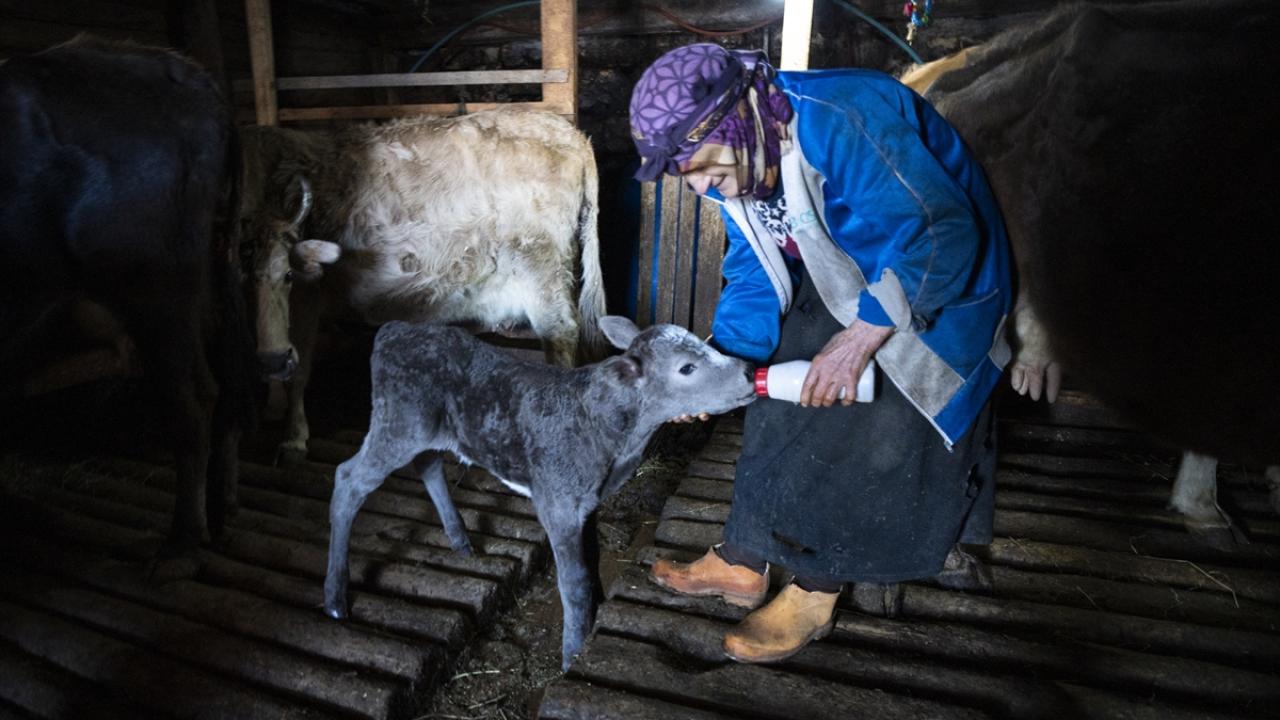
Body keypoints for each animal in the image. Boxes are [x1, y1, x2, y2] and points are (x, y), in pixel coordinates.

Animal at [240, 110, 609, 461]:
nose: (271, 361)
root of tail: (571, 134)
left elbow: (300, 368)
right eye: (242, 276)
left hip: (541, 272)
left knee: (561, 337)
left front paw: (293, 437)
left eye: (288, 274)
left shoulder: (308, 294)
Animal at [325, 313, 752, 666]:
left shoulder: (586, 502)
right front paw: (573, 653)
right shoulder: (557, 502)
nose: (749, 371)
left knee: (428, 465)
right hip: (397, 424)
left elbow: (591, 558)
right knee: (348, 480)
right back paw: (335, 598)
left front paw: (594, 612)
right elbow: (573, 581)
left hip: (429, 429)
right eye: (687, 367)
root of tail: (395, 328)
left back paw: (460, 540)